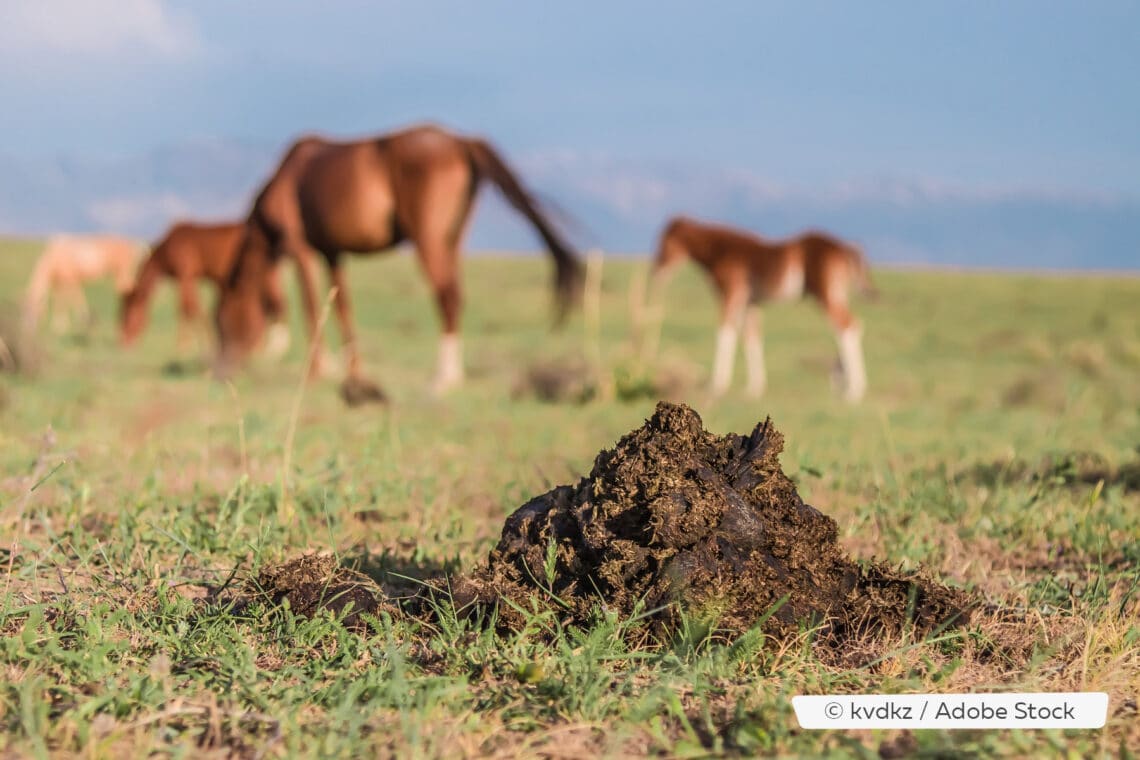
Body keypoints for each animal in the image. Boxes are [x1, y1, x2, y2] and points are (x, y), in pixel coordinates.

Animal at [119, 216, 287, 353]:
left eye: (129, 315)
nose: (125, 342)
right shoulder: (192, 278)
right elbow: (195, 308)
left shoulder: (185, 275)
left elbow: (186, 308)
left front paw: (184, 346)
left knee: (273, 303)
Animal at [214, 121, 583, 396]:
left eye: (221, 320)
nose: (221, 371)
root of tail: (461, 141)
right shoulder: (333, 253)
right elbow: (343, 307)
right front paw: (353, 371)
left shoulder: (300, 247)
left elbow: (310, 306)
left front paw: (318, 370)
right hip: (453, 238)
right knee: (456, 294)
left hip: (427, 238)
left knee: (447, 295)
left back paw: (443, 378)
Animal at [647, 215, 875, 401]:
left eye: (665, 242)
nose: (656, 270)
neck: (721, 251)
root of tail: (844, 247)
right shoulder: (751, 304)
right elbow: (751, 339)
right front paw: (754, 388)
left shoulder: (731, 296)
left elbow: (725, 334)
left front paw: (717, 385)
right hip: (836, 294)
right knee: (847, 327)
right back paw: (841, 381)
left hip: (825, 294)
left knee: (847, 327)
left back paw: (853, 389)